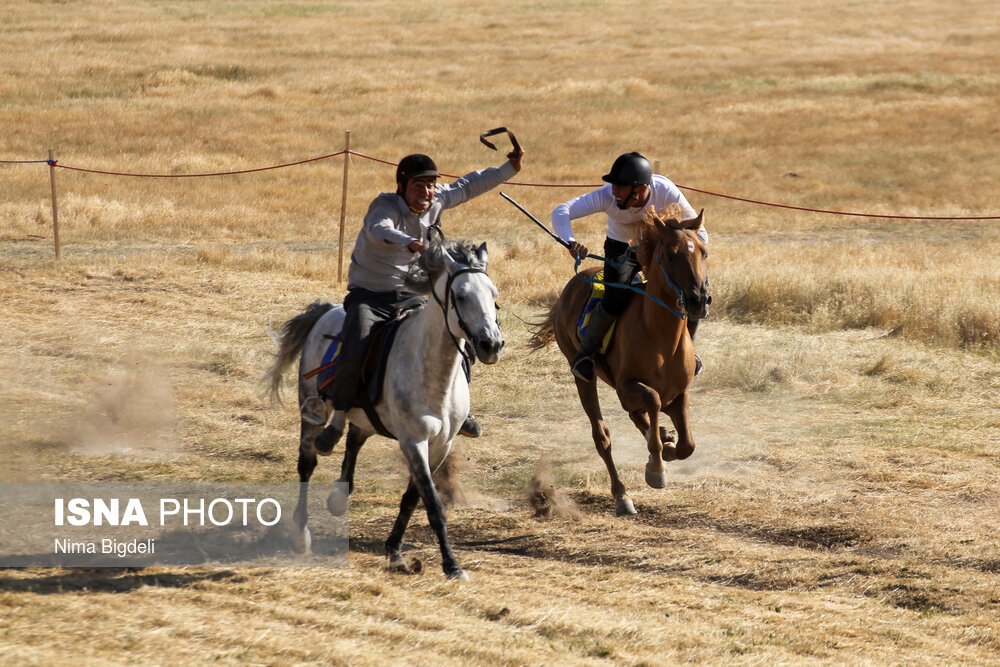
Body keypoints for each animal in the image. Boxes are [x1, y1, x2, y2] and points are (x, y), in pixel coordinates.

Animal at [266, 240, 504, 580]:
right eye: (460, 296)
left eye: (493, 295)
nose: (491, 345)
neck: (432, 372)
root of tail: (327, 310)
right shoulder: (413, 441)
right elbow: (432, 503)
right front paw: (451, 565)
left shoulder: (441, 445)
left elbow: (412, 499)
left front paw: (394, 551)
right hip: (309, 410)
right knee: (307, 464)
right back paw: (301, 534)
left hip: (366, 418)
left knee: (353, 439)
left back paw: (339, 494)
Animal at [532, 209, 712, 516]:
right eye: (671, 254)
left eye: (703, 252)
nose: (699, 299)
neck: (661, 336)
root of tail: (572, 285)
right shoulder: (627, 386)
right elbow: (652, 400)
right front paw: (656, 468)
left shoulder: (680, 392)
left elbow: (687, 444)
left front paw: (668, 444)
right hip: (583, 377)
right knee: (602, 436)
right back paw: (622, 495)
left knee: (635, 418)